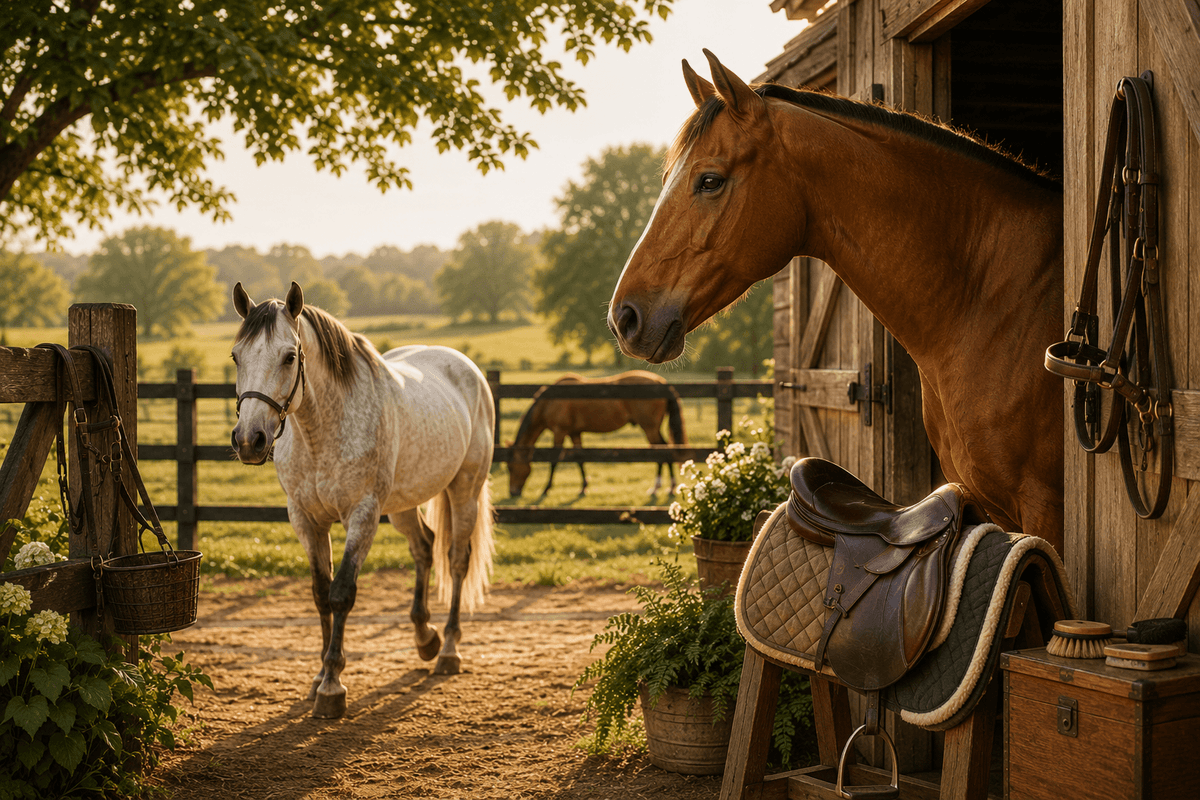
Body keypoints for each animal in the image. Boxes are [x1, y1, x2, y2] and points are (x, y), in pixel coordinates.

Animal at [229, 281, 496, 718]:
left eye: (289, 357)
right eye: (236, 356)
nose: (250, 440)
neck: (321, 432)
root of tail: (465, 367)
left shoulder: (363, 515)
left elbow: (342, 593)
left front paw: (332, 687)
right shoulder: (305, 519)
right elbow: (320, 594)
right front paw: (319, 675)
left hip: (464, 490)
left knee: (457, 560)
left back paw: (448, 650)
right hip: (403, 504)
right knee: (424, 548)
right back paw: (426, 638)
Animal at [507, 371, 687, 499]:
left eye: (510, 467)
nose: (513, 492)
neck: (550, 401)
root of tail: (661, 382)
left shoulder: (560, 432)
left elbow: (554, 460)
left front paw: (546, 489)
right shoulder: (574, 433)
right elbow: (580, 458)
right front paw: (583, 487)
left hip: (649, 428)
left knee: (662, 451)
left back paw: (662, 488)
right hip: (651, 428)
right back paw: (664, 487)